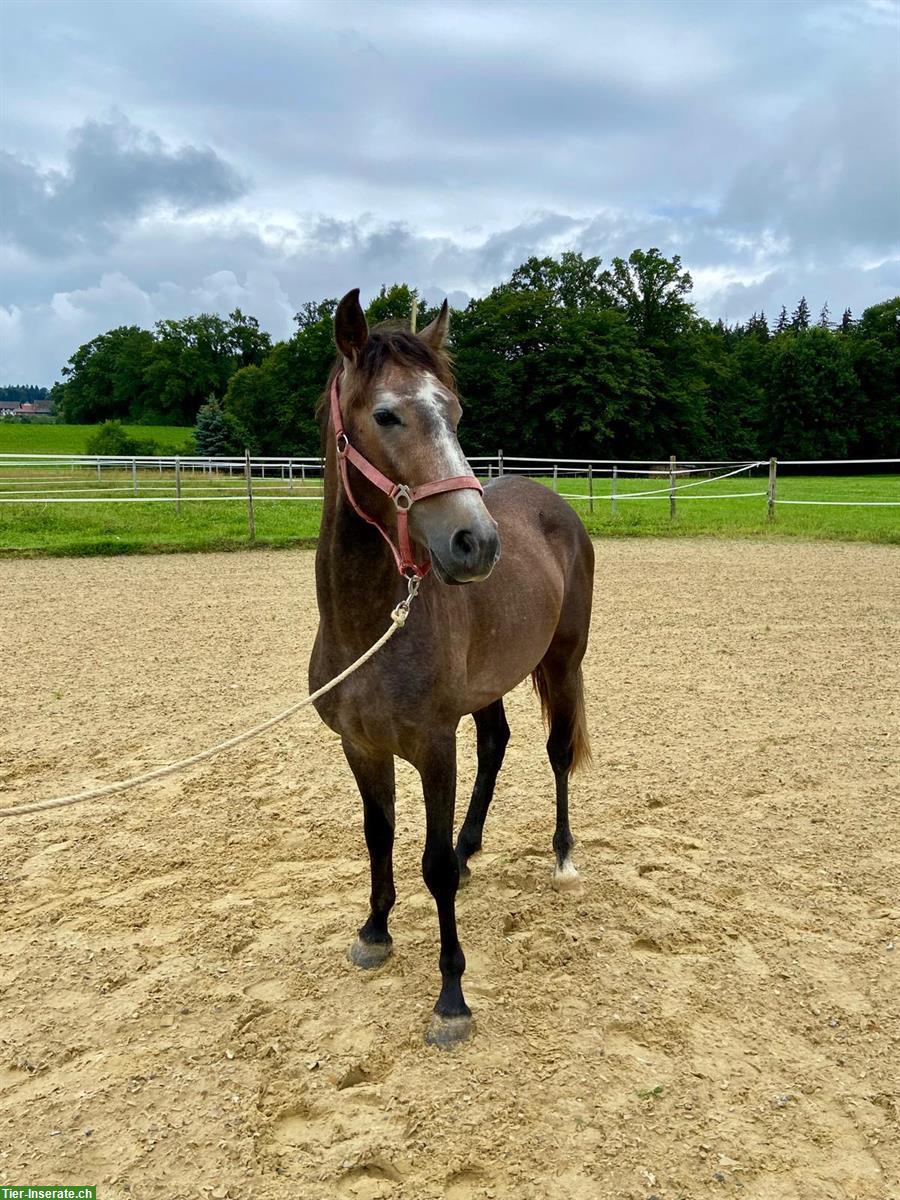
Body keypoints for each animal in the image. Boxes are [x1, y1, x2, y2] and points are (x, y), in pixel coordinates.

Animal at [312, 288, 600, 1041]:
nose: (476, 542)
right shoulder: (361, 748)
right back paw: (475, 847)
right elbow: (378, 837)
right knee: (496, 743)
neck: (368, 630)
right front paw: (375, 931)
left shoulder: (434, 748)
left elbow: (432, 866)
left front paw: (452, 997)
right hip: (490, 681)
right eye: (386, 413)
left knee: (557, 751)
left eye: (457, 410)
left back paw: (563, 856)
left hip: (564, 663)